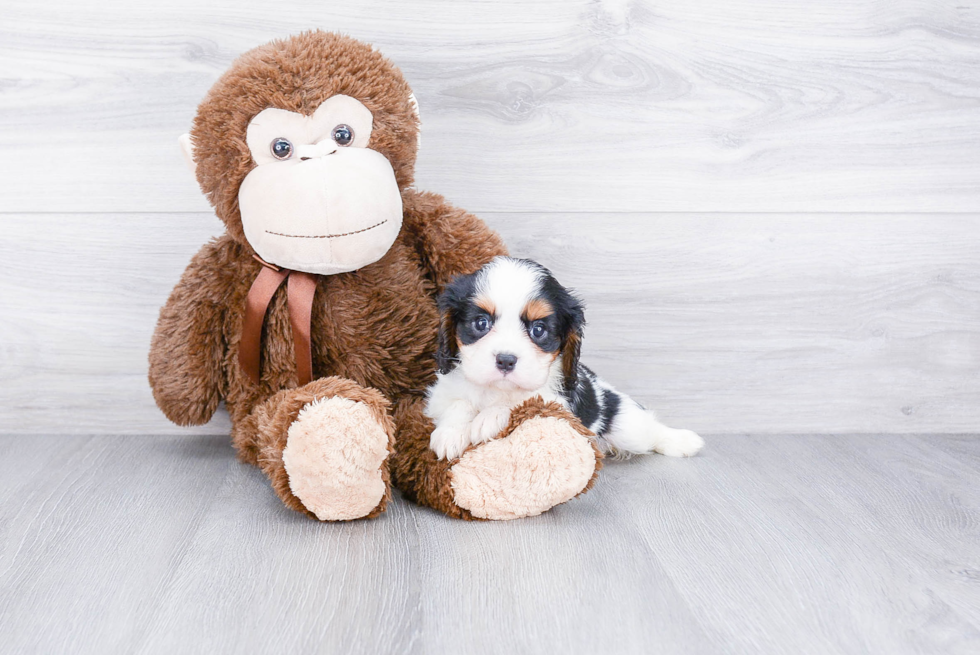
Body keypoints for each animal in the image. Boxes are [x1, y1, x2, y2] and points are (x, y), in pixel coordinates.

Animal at [424, 256, 700, 462]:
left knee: (651, 431)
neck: (496, 390)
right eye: (481, 323)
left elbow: (526, 399)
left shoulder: (559, 404)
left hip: (628, 427)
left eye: (538, 330)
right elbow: (458, 403)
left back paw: (683, 441)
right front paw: (450, 433)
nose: (505, 360)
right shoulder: (441, 394)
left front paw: (491, 417)